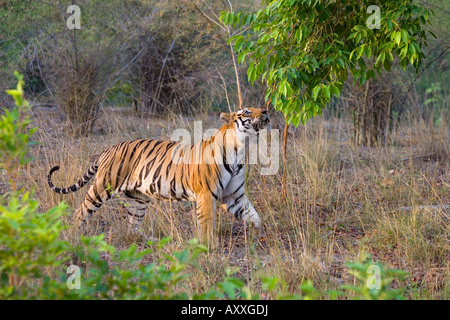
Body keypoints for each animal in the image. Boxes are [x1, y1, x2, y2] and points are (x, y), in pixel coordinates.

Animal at [47, 107, 268, 242]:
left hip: (138, 199)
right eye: (247, 111)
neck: (241, 148)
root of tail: (109, 148)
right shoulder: (206, 195)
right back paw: (71, 237)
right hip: (103, 187)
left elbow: (253, 215)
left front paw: (260, 233)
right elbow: (206, 223)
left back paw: (150, 240)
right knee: (80, 212)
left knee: (132, 226)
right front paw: (208, 245)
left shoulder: (233, 196)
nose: (266, 110)